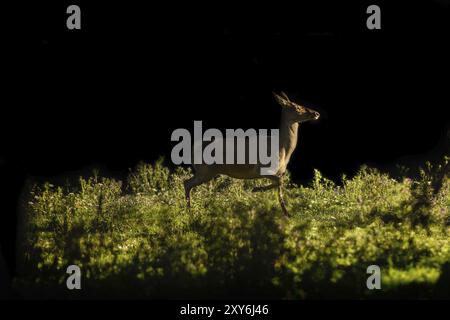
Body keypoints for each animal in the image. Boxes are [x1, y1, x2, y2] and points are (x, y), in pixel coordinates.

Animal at [183, 92, 320, 218]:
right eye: (297, 107)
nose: (316, 113)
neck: (283, 149)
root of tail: (193, 149)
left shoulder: (279, 172)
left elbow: (279, 191)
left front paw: (287, 214)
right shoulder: (261, 169)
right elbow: (279, 182)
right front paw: (255, 189)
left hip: (206, 172)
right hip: (205, 171)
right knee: (187, 183)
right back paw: (190, 212)